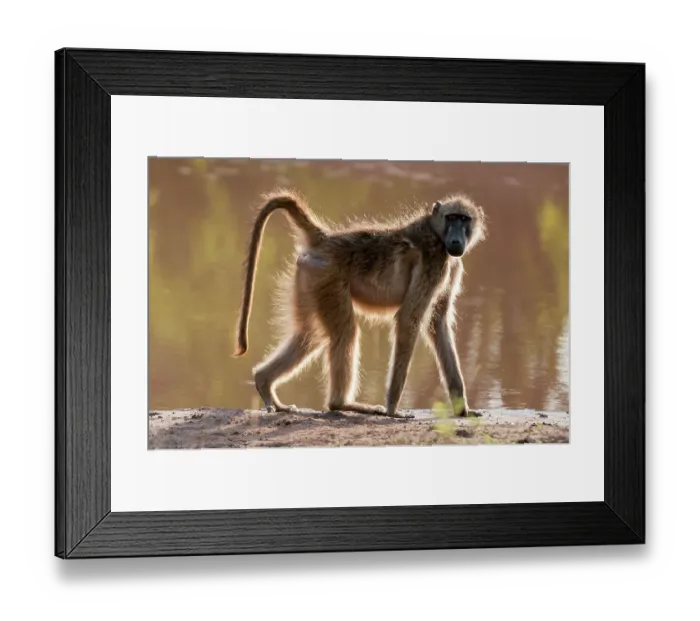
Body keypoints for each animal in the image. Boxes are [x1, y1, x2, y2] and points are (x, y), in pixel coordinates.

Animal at [233, 189, 487, 419]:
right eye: (451, 218)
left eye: (464, 219)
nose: (456, 241)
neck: (437, 234)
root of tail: (325, 239)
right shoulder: (434, 262)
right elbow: (409, 319)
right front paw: (393, 410)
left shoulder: (450, 266)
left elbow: (438, 324)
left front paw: (463, 409)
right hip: (326, 276)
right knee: (344, 332)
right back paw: (341, 404)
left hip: (309, 277)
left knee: (309, 335)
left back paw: (264, 383)